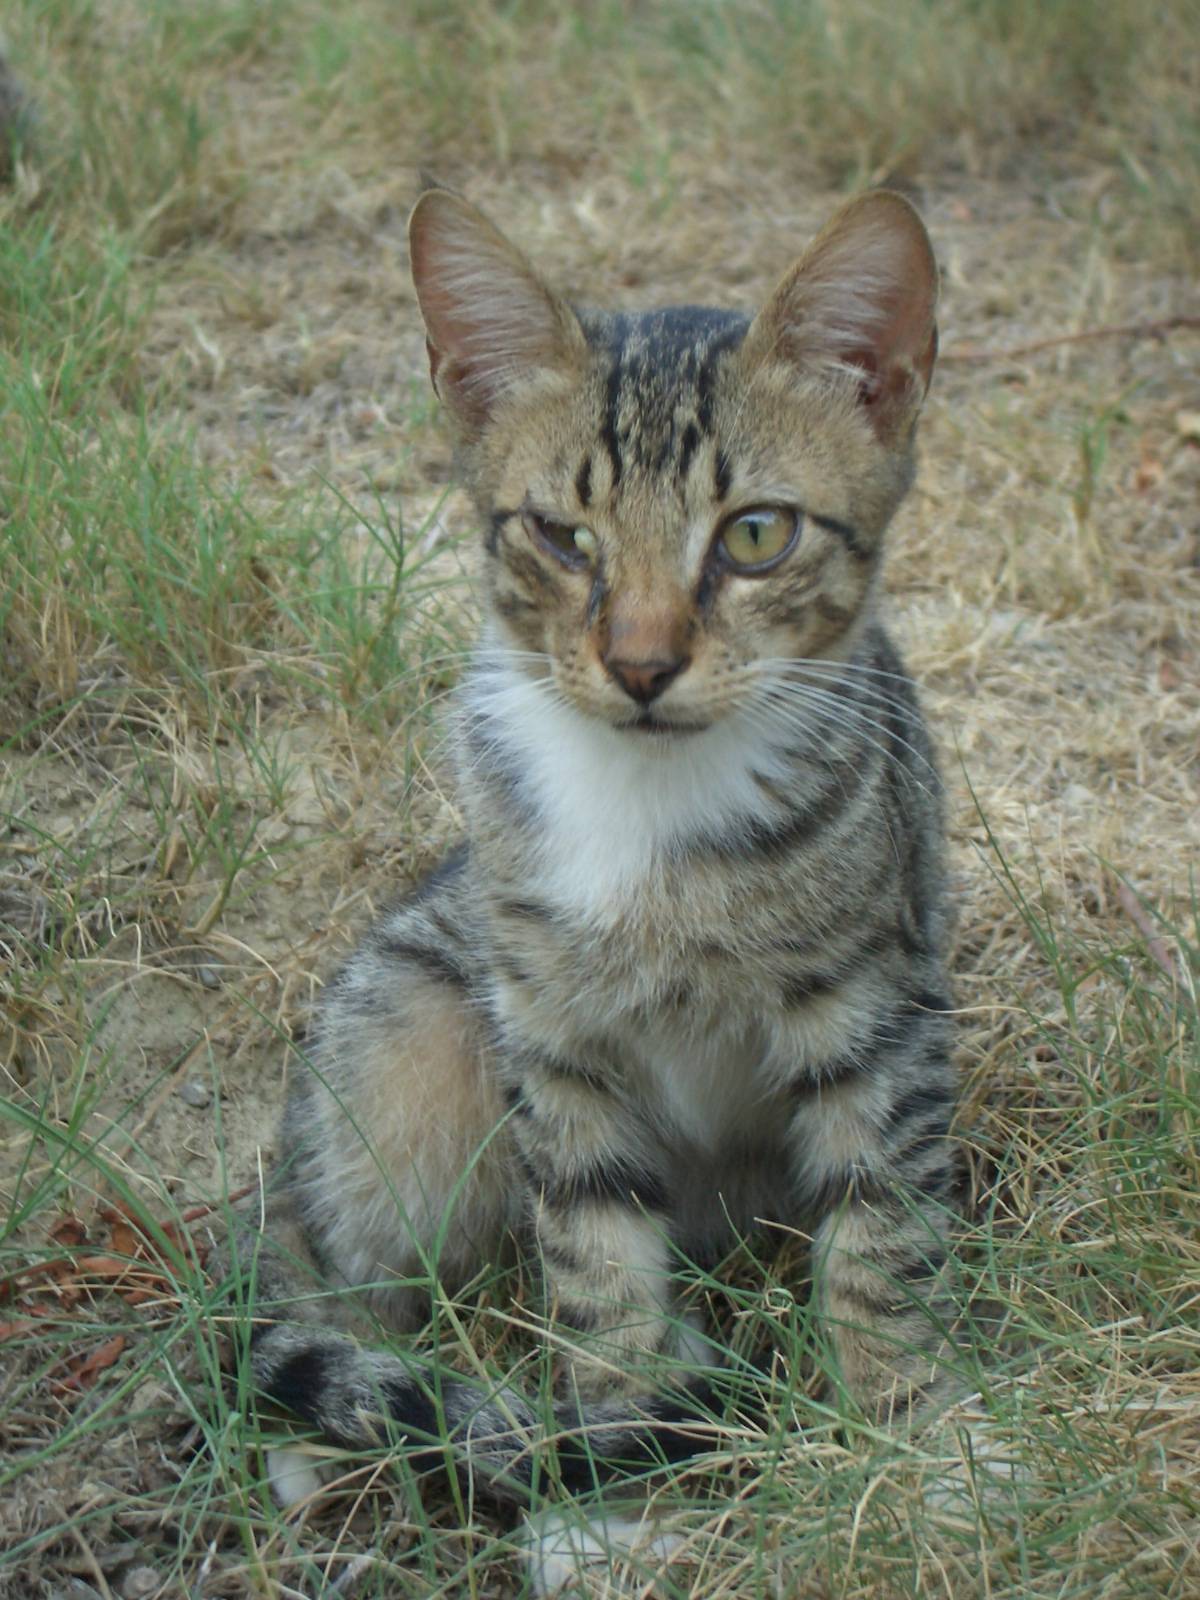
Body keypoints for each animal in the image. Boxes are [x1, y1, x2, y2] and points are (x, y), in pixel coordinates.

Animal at [244, 181, 960, 1555]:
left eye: (755, 534)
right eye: (561, 535)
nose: (639, 663)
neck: (653, 804)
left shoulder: (879, 1003)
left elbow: (884, 1225)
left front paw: (920, 1447)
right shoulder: (553, 1031)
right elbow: (592, 1252)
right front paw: (615, 1463)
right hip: (403, 1023)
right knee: (332, 1288)